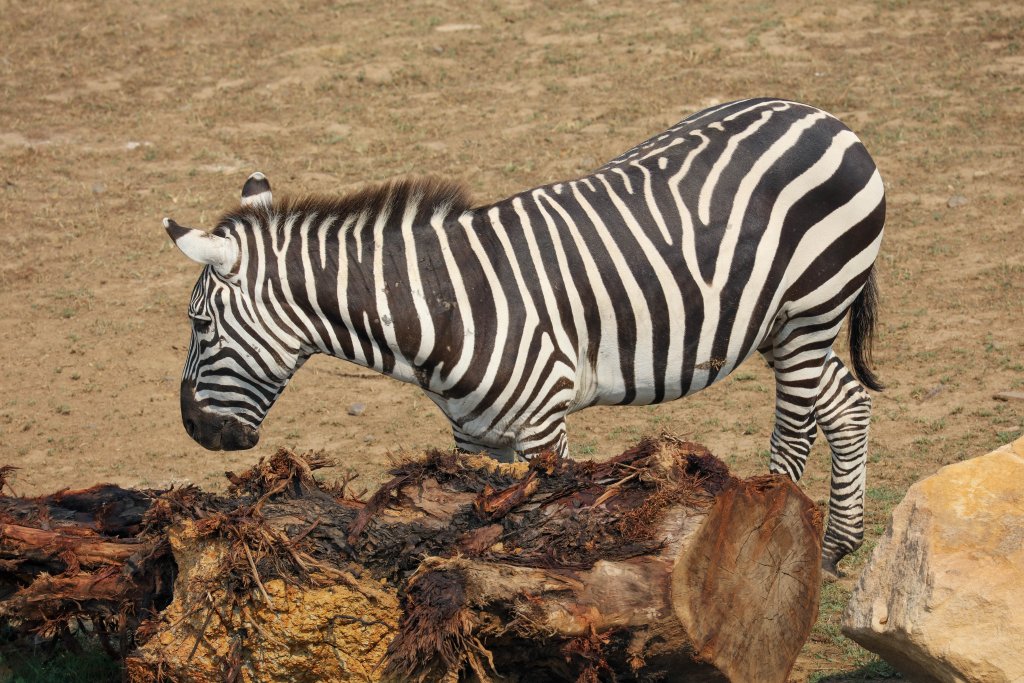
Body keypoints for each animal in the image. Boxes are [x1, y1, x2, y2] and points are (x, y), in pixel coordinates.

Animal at [164, 98, 884, 574]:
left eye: (200, 325)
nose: (193, 429)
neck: (446, 307)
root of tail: (821, 116)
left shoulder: (544, 426)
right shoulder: (473, 436)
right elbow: (475, 526)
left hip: (810, 310)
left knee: (794, 432)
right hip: (776, 321)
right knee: (848, 403)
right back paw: (832, 549)